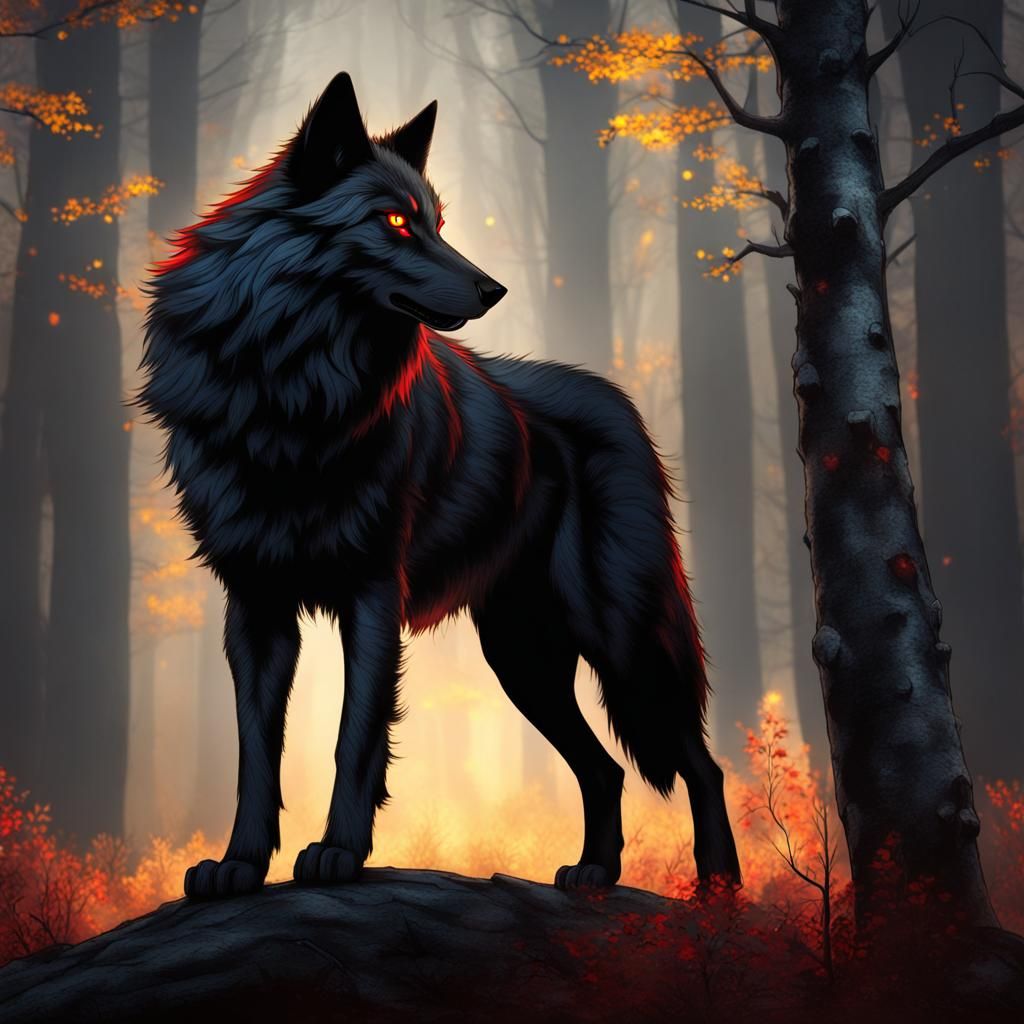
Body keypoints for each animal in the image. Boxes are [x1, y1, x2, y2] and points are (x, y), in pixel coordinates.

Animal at [140, 73, 740, 898]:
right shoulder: (256, 609)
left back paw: (719, 895)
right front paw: (239, 866)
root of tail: (621, 404)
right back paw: (593, 871)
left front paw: (338, 854)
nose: (494, 288)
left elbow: (354, 737)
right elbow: (256, 752)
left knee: (701, 764)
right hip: (524, 662)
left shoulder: (370, 594)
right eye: (395, 222)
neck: (292, 389)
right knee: (608, 769)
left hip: (620, 640)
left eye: (438, 222)